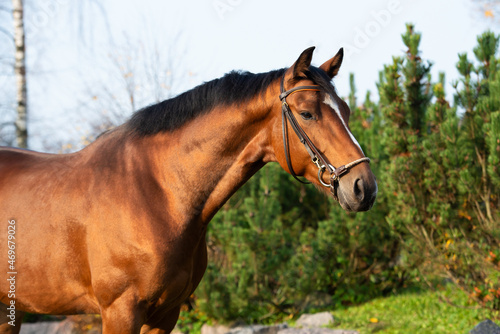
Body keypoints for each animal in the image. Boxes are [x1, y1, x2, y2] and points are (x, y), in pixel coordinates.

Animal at [0, 47, 376, 334]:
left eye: (346, 110)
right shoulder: (120, 312)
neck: (157, 193)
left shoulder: (166, 314)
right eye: (307, 113)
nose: (364, 187)